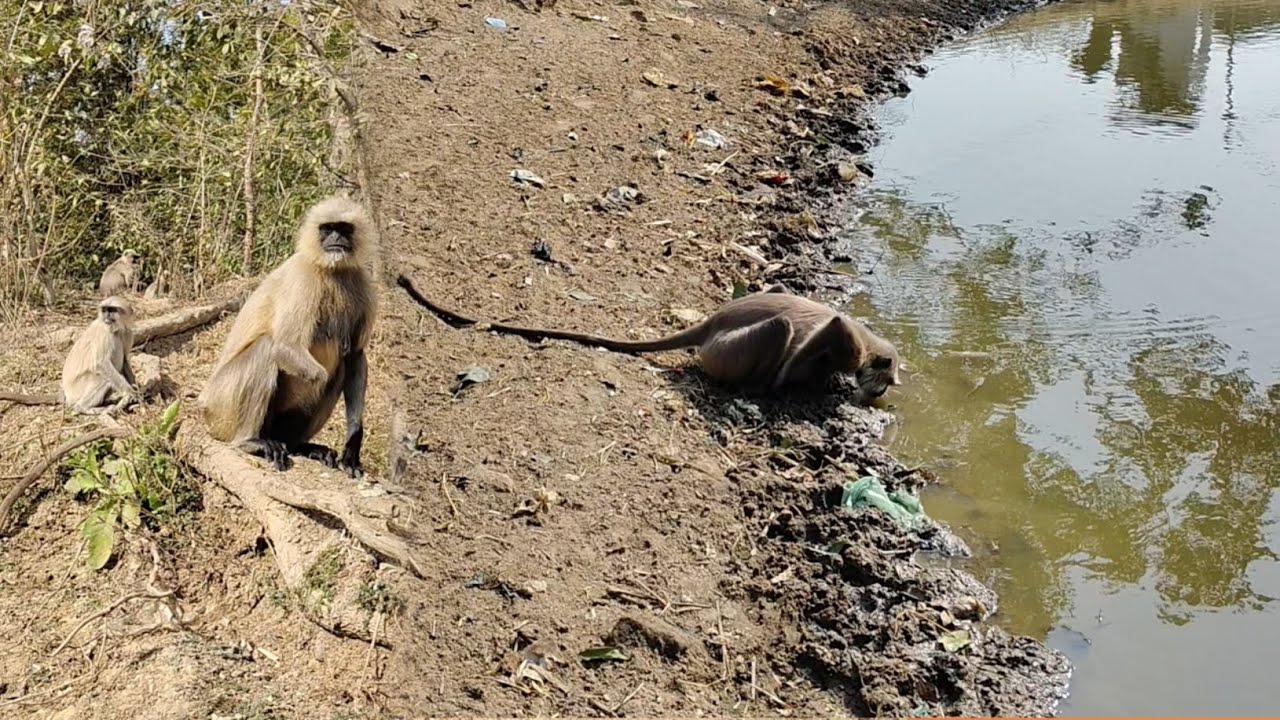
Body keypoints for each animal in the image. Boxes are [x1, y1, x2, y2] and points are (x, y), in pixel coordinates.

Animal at [199, 196, 377, 476]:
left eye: (344, 228)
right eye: (327, 228)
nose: (336, 238)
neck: (332, 271)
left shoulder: (363, 284)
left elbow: (355, 357)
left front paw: (352, 445)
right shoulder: (304, 278)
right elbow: (286, 348)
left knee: (339, 370)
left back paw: (299, 445)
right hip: (220, 406)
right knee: (267, 348)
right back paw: (251, 441)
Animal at [396, 276, 900, 402]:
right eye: (887, 375)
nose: (883, 392)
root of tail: (713, 321)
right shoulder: (848, 340)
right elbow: (830, 329)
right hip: (728, 351)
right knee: (779, 328)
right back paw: (758, 389)